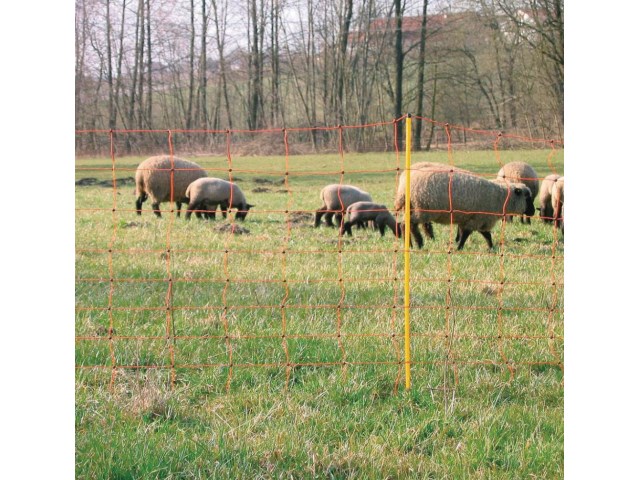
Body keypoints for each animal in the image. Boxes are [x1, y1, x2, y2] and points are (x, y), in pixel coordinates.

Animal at [396, 167, 536, 251]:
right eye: (527, 198)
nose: (533, 212)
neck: (500, 197)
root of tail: (403, 189)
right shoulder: (478, 218)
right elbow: (468, 234)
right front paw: (460, 247)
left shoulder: (477, 220)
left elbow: (485, 235)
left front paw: (491, 247)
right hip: (422, 209)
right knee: (410, 225)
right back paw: (417, 243)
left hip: (414, 208)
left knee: (406, 224)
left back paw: (411, 244)